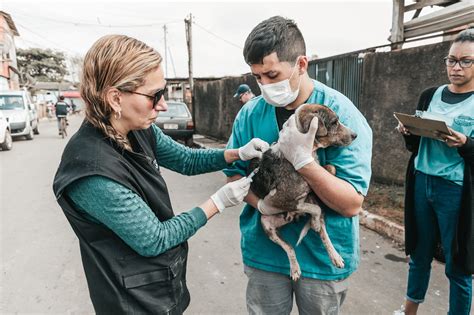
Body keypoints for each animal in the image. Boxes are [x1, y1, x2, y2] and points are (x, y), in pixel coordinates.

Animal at [248, 103, 356, 282]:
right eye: (334, 122)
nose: (355, 135)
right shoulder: (279, 200)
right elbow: (314, 208)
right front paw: (314, 220)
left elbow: (330, 168)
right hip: (267, 224)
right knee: (290, 247)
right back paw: (295, 268)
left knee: (323, 233)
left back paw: (334, 255)